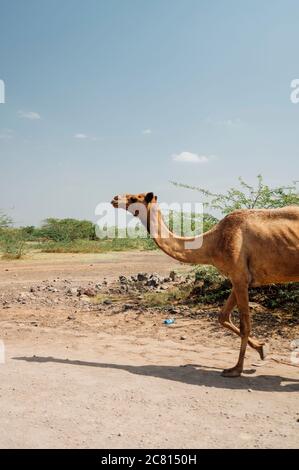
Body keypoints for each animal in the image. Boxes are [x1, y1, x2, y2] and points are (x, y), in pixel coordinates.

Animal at [110, 193, 299, 376]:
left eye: (134, 198)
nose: (114, 199)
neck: (213, 243)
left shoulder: (240, 277)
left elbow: (245, 325)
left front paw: (236, 369)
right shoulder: (238, 278)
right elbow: (222, 316)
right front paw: (262, 349)